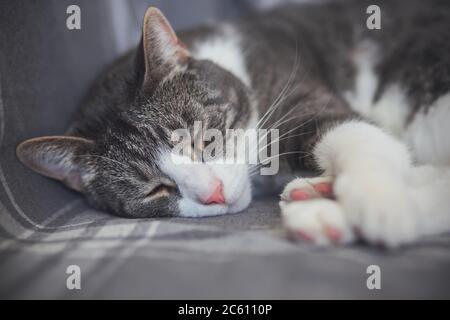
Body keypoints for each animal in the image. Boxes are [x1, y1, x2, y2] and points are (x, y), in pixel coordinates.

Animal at [15, 0, 450, 248]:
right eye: (156, 189)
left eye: (200, 139)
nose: (215, 194)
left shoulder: (298, 92)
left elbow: (355, 133)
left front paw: (380, 200)